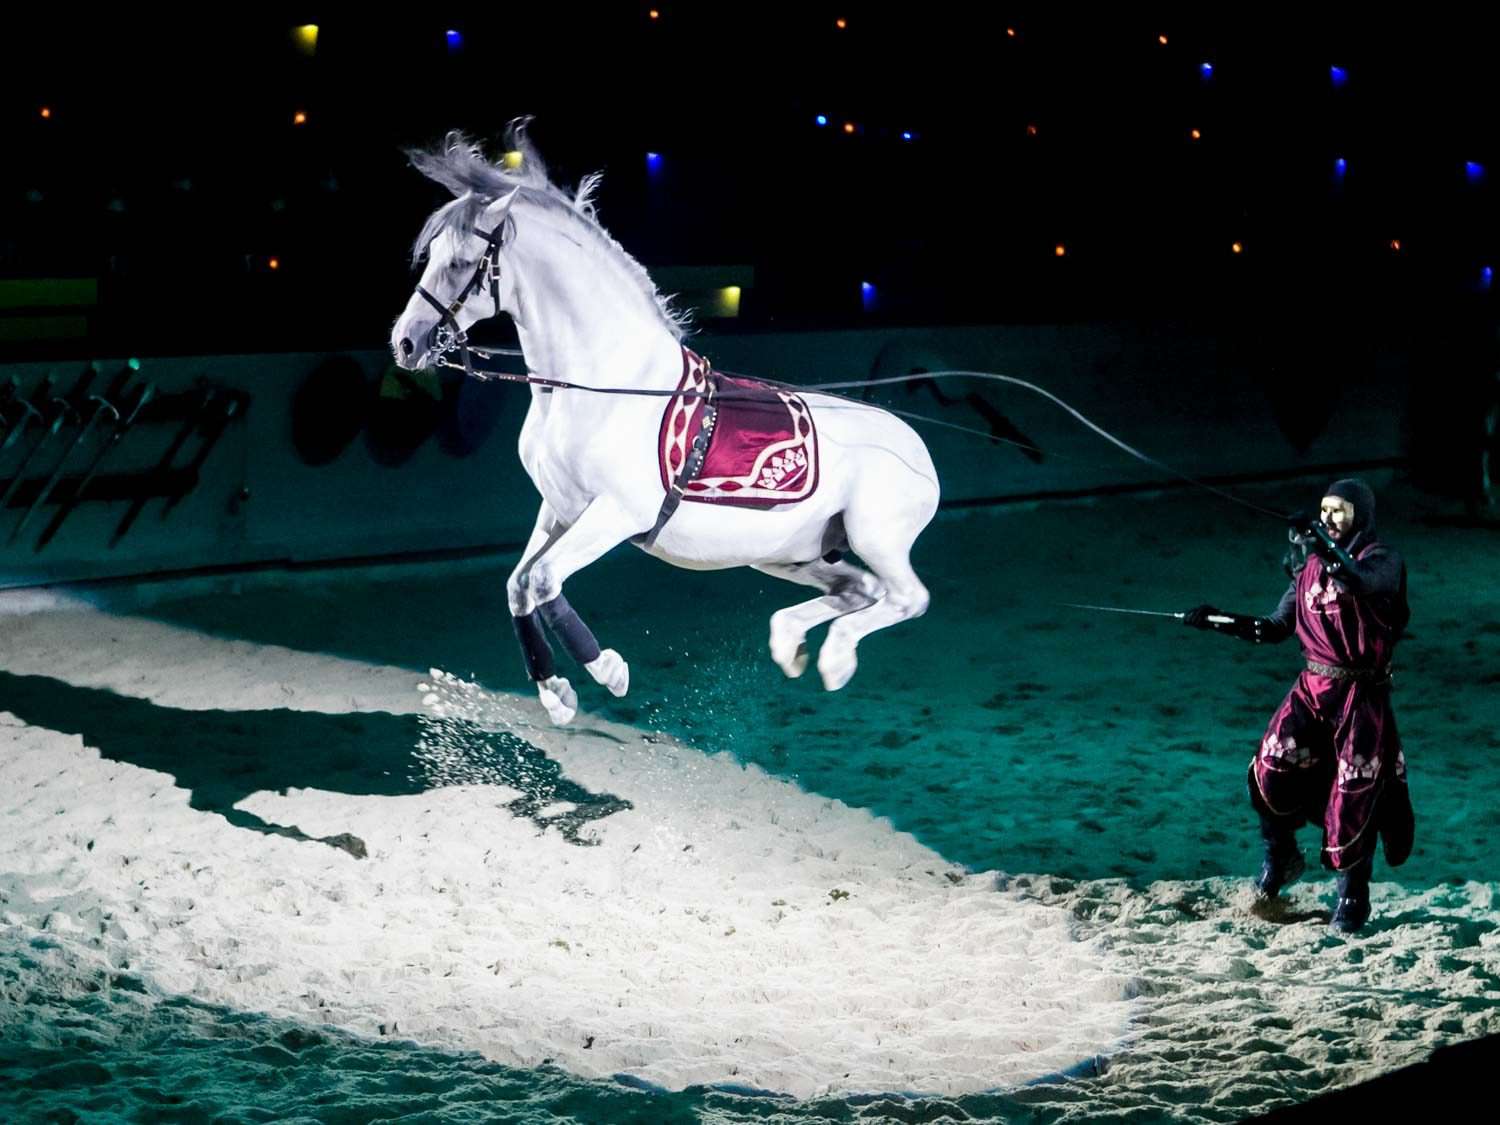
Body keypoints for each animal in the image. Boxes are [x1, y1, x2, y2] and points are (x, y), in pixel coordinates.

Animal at [390, 123, 940, 724]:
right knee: (859, 589)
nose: (405, 343)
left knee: (906, 597)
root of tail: (915, 444)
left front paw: (608, 670)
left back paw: (835, 659)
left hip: (875, 537)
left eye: (461, 262)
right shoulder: (560, 509)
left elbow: (543, 579)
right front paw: (556, 694)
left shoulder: (616, 512)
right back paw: (792, 646)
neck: (600, 384)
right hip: (792, 554)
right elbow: (519, 585)